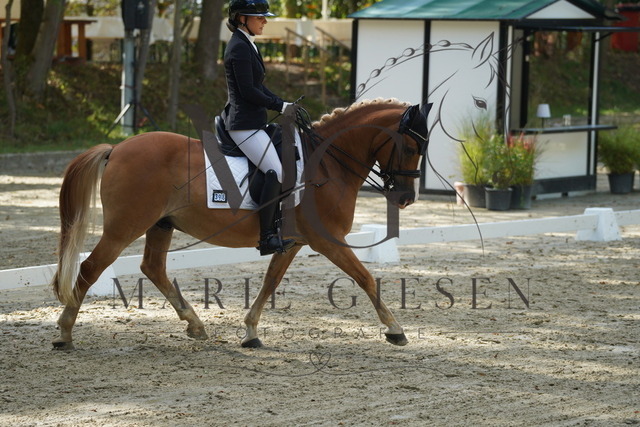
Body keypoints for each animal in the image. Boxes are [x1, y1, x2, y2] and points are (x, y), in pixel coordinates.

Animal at [50, 98, 430, 350]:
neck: (326, 163)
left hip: (161, 224)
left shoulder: (292, 242)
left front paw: (250, 332)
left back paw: (195, 325)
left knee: (153, 267)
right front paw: (395, 329)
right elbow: (364, 278)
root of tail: (116, 148)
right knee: (91, 267)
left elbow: (270, 281)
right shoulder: (328, 239)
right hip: (125, 226)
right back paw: (65, 333)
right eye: (411, 147)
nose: (405, 199)